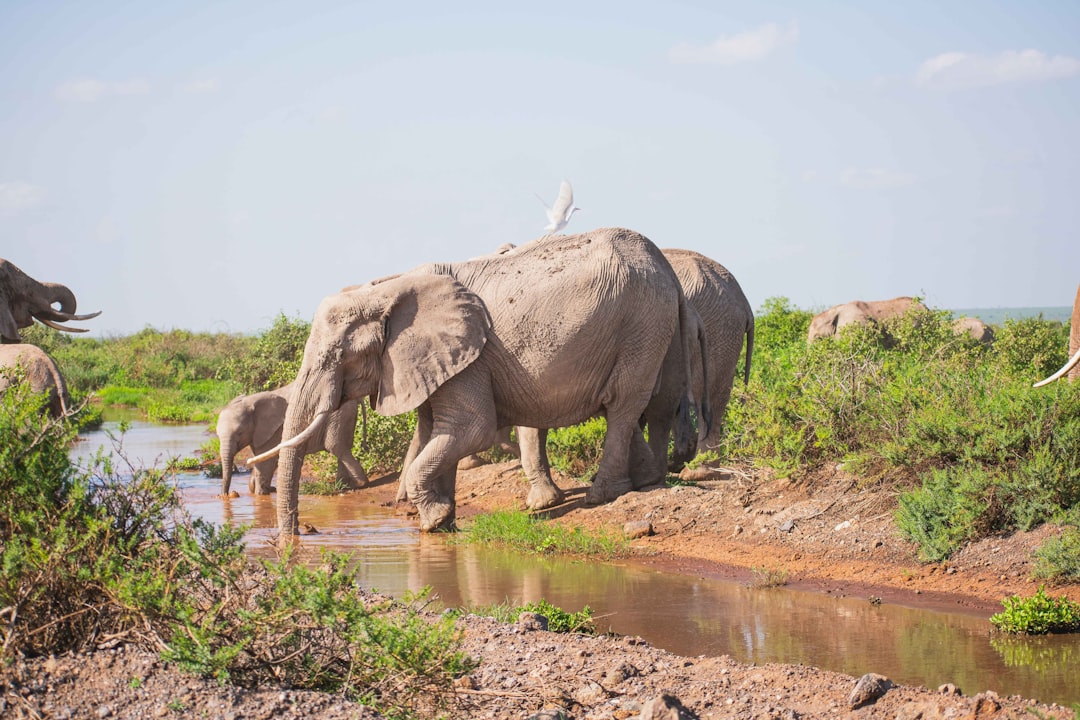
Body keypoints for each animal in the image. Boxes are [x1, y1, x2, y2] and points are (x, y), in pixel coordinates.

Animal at [214, 382, 367, 496]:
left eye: (240, 433)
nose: (224, 495)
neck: (249, 402)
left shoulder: (274, 430)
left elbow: (265, 462)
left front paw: (260, 495)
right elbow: (264, 458)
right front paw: (263, 489)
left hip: (339, 415)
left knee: (336, 446)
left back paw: (359, 484)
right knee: (342, 447)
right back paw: (342, 486)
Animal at [251, 226, 708, 539]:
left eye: (336, 357)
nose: (298, 536)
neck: (387, 290)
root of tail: (666, 266)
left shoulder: (470, 358)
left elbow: (470, 430)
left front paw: (434, 520)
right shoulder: (437, 364)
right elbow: (433, 433)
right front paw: (442, 519)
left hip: (640, 322)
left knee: (623, 404)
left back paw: (603, 495)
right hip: (653, 326)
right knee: (640, 406)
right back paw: (646, 481)